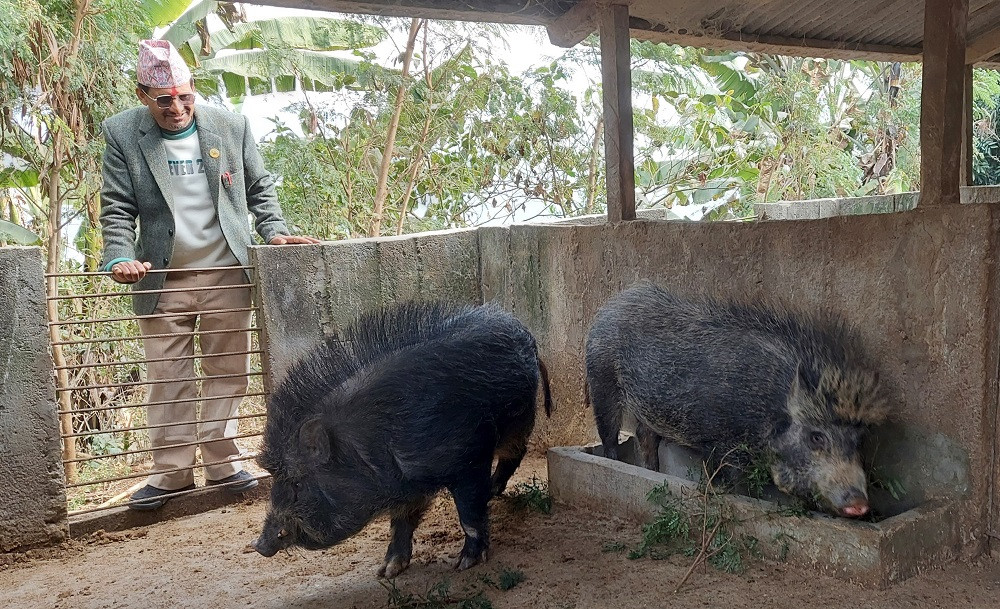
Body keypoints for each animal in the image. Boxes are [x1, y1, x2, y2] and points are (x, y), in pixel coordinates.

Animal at [254, 302, 552, 576]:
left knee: (515, 452)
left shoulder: (468, 459)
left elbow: (469, 514)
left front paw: (465, 564)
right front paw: (387, 571)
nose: (259, 545)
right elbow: (401, 521)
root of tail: (524, 332)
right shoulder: (405, 485)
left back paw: (492, 490)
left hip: (520, 418)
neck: (369, 444)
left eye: (296, 483)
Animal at [584, 282, 892, 516]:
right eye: (816, 437)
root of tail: (611, 303)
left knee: (645, 436)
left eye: (858, 440)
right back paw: (616, 462)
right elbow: (723, 481)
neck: (768, 407)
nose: (861, 505)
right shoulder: (719, 444)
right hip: (602, 380)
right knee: (609, 434)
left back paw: (654, 472)